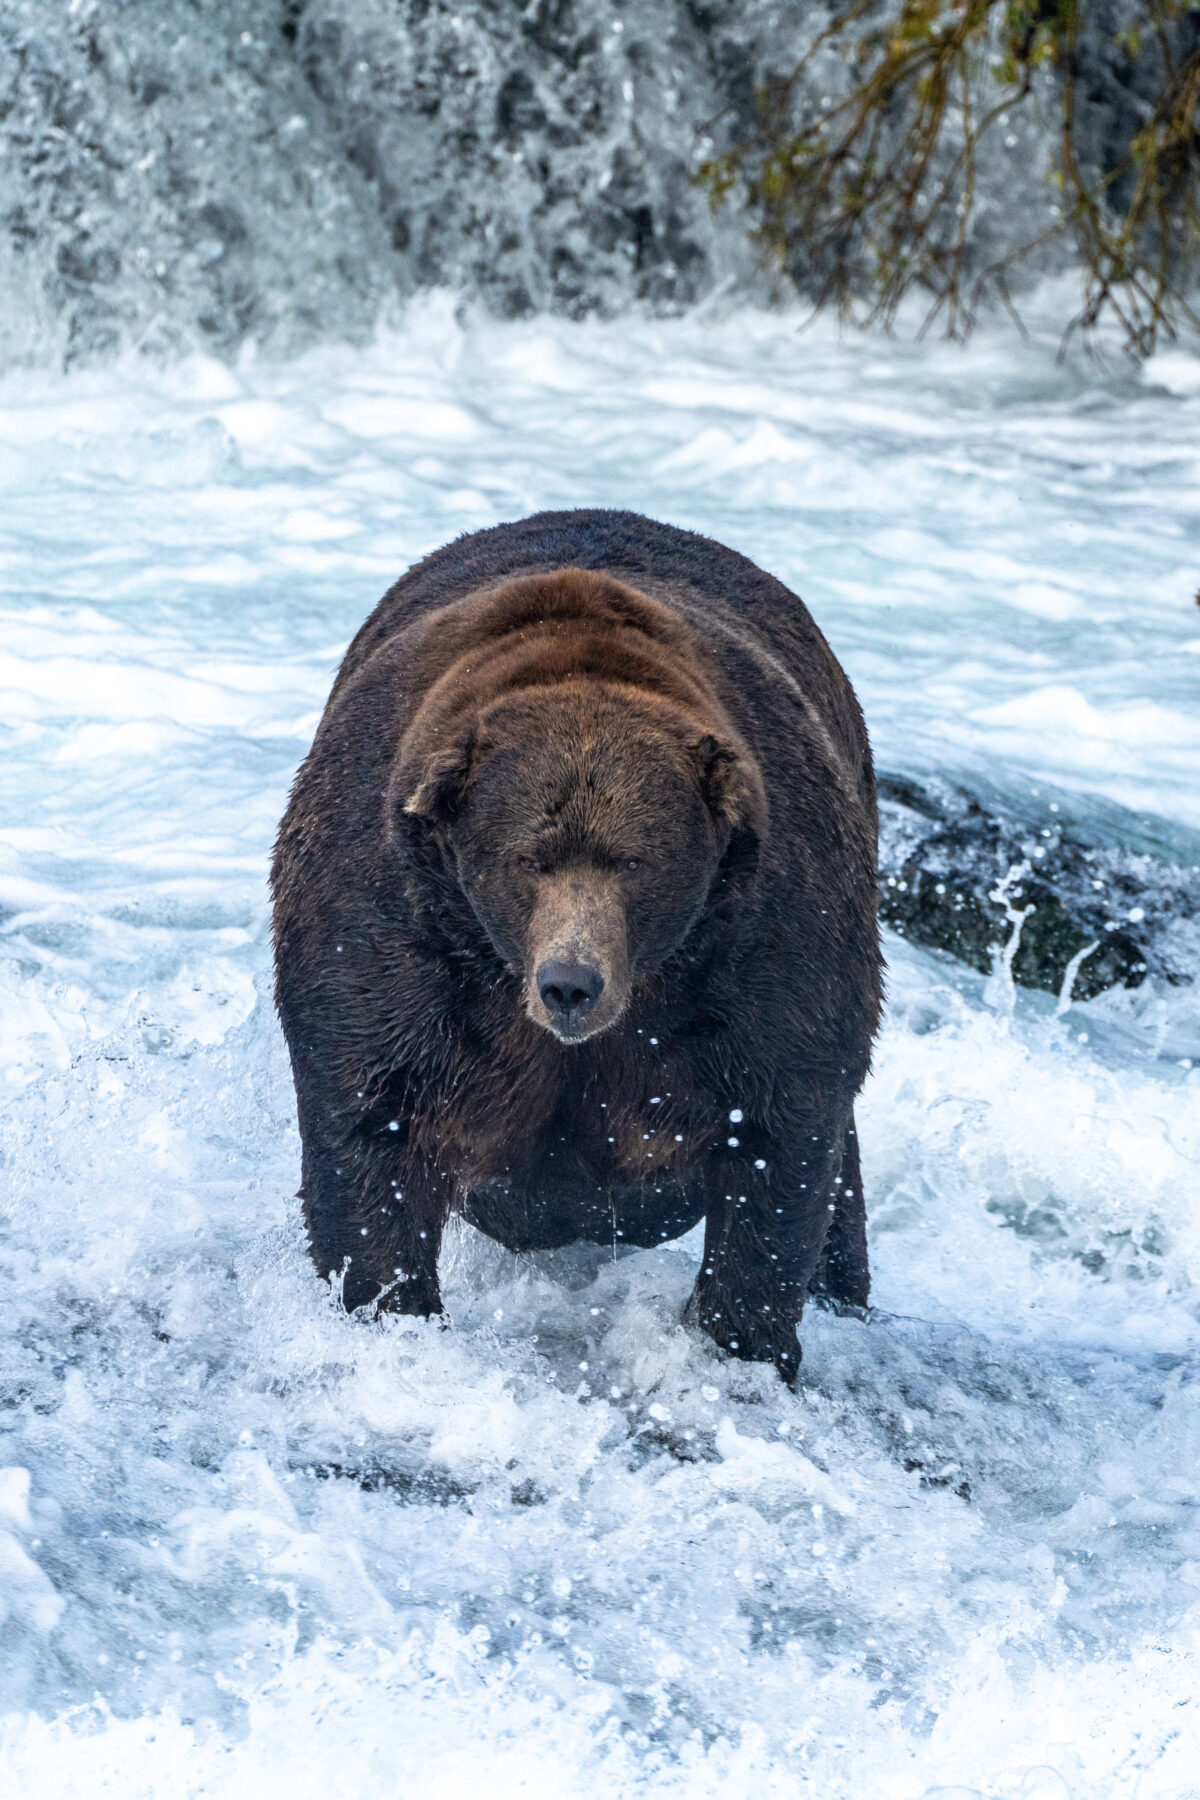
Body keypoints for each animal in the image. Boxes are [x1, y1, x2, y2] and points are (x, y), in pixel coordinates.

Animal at [277, 514, 888, 1382]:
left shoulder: (766, 933)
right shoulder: (391, 917)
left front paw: (742, 1339)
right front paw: (391, 1304)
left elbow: (781, 1133)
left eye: (635, 861)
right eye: (527, 858)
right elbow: (373, 1116)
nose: (571, 983)